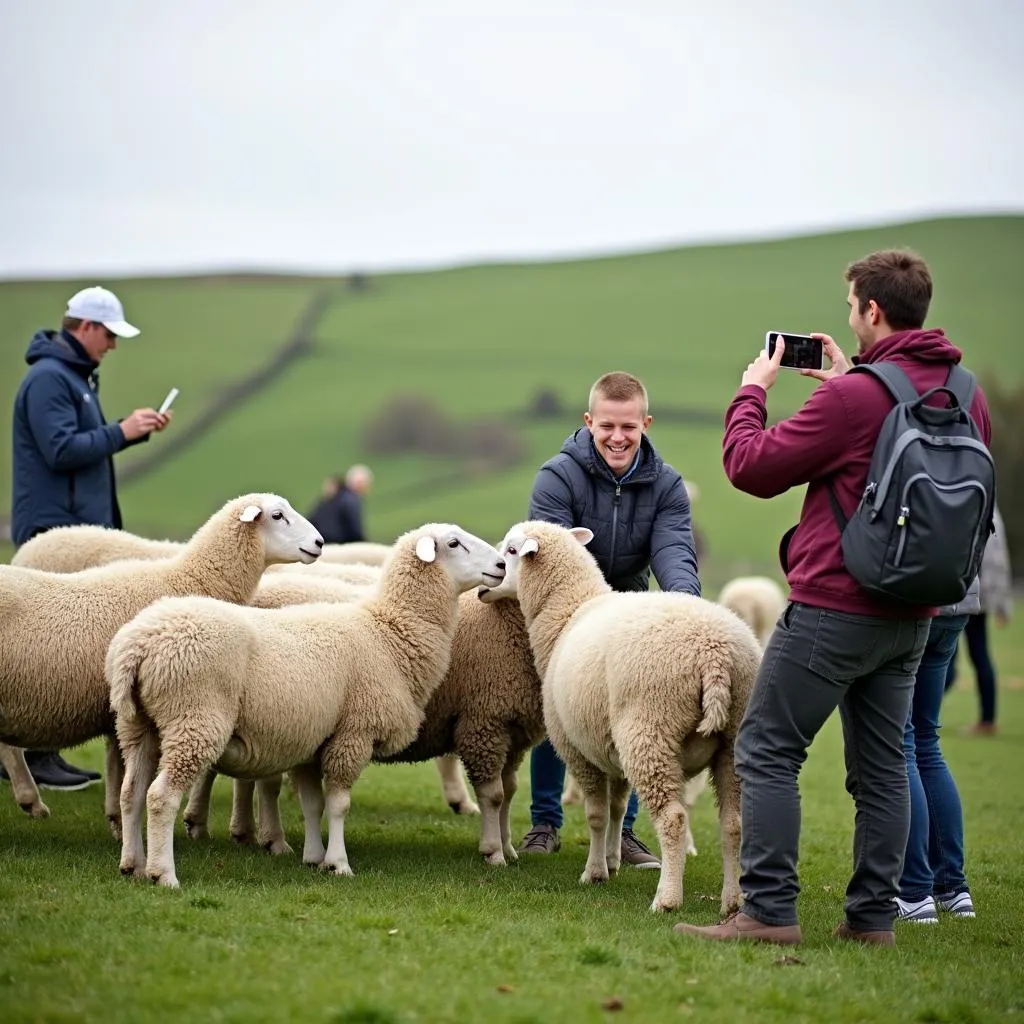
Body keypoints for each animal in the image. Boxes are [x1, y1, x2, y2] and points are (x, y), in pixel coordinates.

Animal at [0, 491, 319, 827]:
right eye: (277, 515)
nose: (320, 542)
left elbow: (118, 766)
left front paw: (116, 817)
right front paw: (121, 822)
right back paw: (31, 799)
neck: (188, 578)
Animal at [108, 524, 503, 884]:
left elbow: (313, 804)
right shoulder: (353, 733)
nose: (500, 564)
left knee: (132, 792)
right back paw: (163, 873)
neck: (387, 630)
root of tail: (140, 642)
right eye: (454, 543)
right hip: (194, 717)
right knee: (161, 796)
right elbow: (339, 805)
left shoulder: (313, 740)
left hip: (138, 727)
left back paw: (133, 864)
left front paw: (314, 857)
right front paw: (339, 864)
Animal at [491, 524, 765, 917]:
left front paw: (595, 872)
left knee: (673, 819)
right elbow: (618, 808)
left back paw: (667, 898)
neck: (568, 613)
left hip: (649, 732)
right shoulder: (610, 749)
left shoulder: (578, 749)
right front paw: (613, 860)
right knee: (733, 823)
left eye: (512, 551)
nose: (491, 571)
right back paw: (732, 902)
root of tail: (715, 653)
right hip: (732, 739)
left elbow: (596, 814)